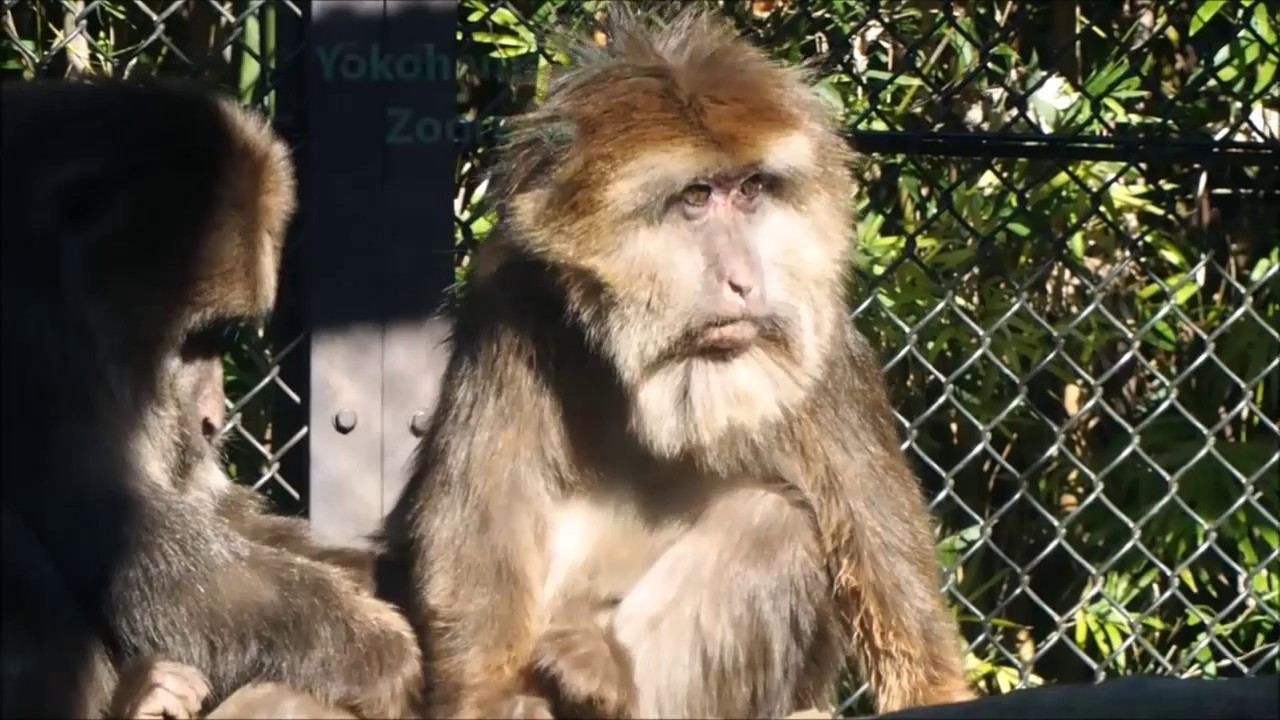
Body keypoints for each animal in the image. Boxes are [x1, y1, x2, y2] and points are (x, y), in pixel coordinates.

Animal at [1, 78, 423, 718]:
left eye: (220, 340)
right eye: (194, 340)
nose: (210, 417)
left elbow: (214, 512)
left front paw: (386, 575)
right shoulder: (35, 343)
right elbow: (133, 535)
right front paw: (373, 650)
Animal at [377, 4, 976, 719]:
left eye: (751, 190)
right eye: (696, 197)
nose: (746, 279)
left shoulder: (826, 357)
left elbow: (914, 650)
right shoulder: (511, 310)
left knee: (772, 523)